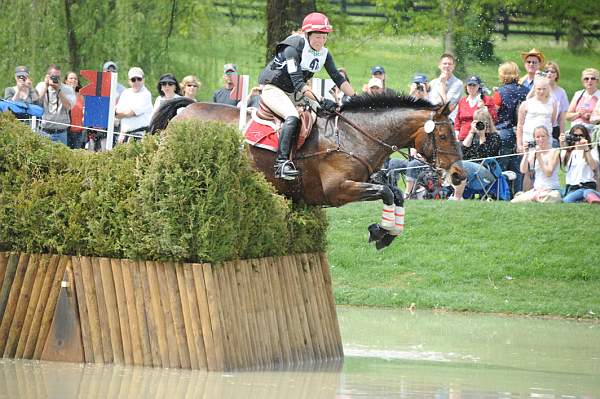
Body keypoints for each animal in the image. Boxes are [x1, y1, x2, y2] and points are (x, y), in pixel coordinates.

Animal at [149, 94, 464, 250]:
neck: (354, 136)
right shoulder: (340, 190)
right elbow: (388, 191)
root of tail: (187, 111)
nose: (459, 175)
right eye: (444, 135)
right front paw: (381, 232)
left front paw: (387, 232)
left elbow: (396, 193)